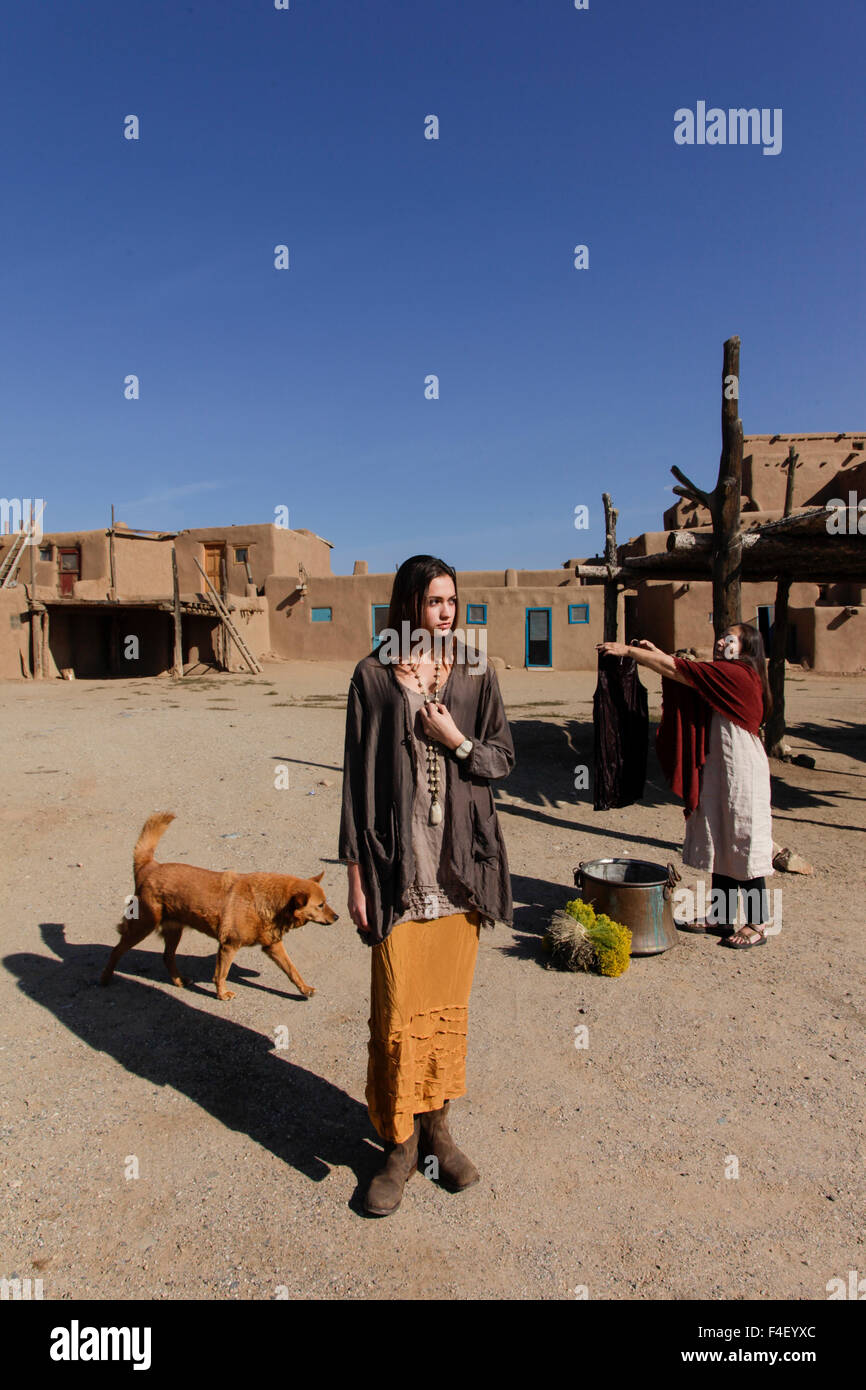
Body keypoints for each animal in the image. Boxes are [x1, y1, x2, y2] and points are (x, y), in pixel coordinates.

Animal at [97, 811, 335, 1000]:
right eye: (321, 905)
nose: (337, 917)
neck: (265, 901)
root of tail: (149, 866)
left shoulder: (273, 945)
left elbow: (292, 970)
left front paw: (305, 989)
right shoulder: (229, 945)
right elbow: (221, 973)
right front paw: (222, 994)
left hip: (174, 930)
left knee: (167, 957)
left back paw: (178, 980)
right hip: (143, 925)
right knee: (117, 950)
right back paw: (105, 978)